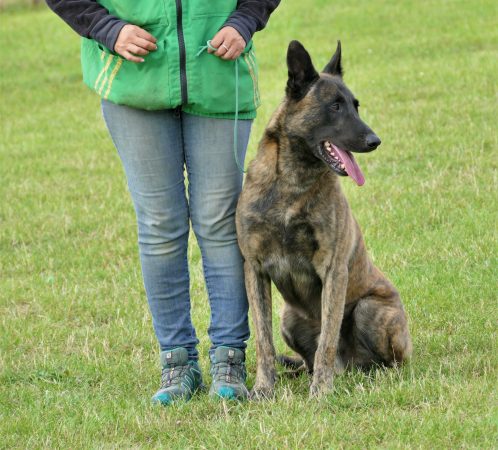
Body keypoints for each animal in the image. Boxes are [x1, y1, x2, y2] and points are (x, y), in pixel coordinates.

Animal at [237, 41, 412, 398]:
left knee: (384, 362)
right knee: (306, 358)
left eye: (356, 106)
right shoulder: (255, 269)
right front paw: (263, 388)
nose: (375, 141)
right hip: (290, 319)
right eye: (335, 106)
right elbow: (263, 340)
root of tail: (350, 367)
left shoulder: (333, 270)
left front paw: (320, 392)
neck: (292, 183)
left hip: (371, 310)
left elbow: (327, 340)